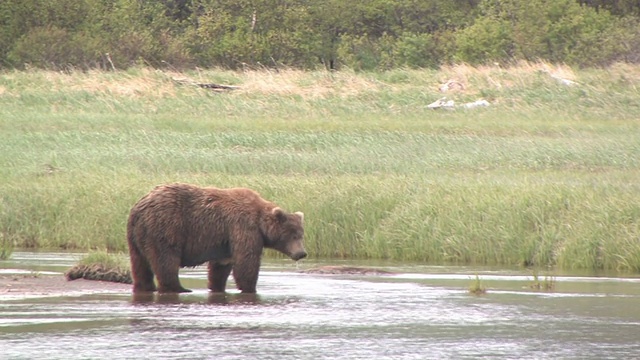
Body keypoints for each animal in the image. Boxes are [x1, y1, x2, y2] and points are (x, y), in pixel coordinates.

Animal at [126, 181, 306, 294]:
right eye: (293, 235)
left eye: (301, 234)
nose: (302, 253)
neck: (261, 223)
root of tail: (138, 208)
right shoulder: (244, 228)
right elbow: (246, 262)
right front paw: (250, 288)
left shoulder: (225, 241)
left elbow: (221, 266)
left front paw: (217, 286)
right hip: (166, 226)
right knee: (166, 259)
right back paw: (179, 288)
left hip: (137, 235)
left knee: (140, 263)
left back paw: (145, 287)